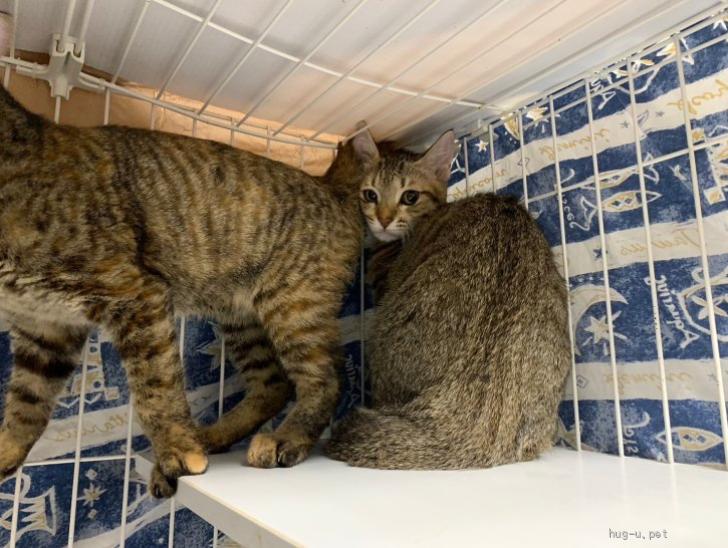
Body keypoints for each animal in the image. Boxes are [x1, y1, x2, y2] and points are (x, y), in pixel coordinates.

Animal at [0, 83, 380, 497]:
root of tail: (331, 188)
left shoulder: (135, 295)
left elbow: (156, 388)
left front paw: (178, 450)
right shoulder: (44, 330)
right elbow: (26, 404)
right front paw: (5, 451)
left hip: (292, 307)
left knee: (327, 378)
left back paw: (286, 437)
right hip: (241, 318)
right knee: (274, 384)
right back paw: (216, 434)